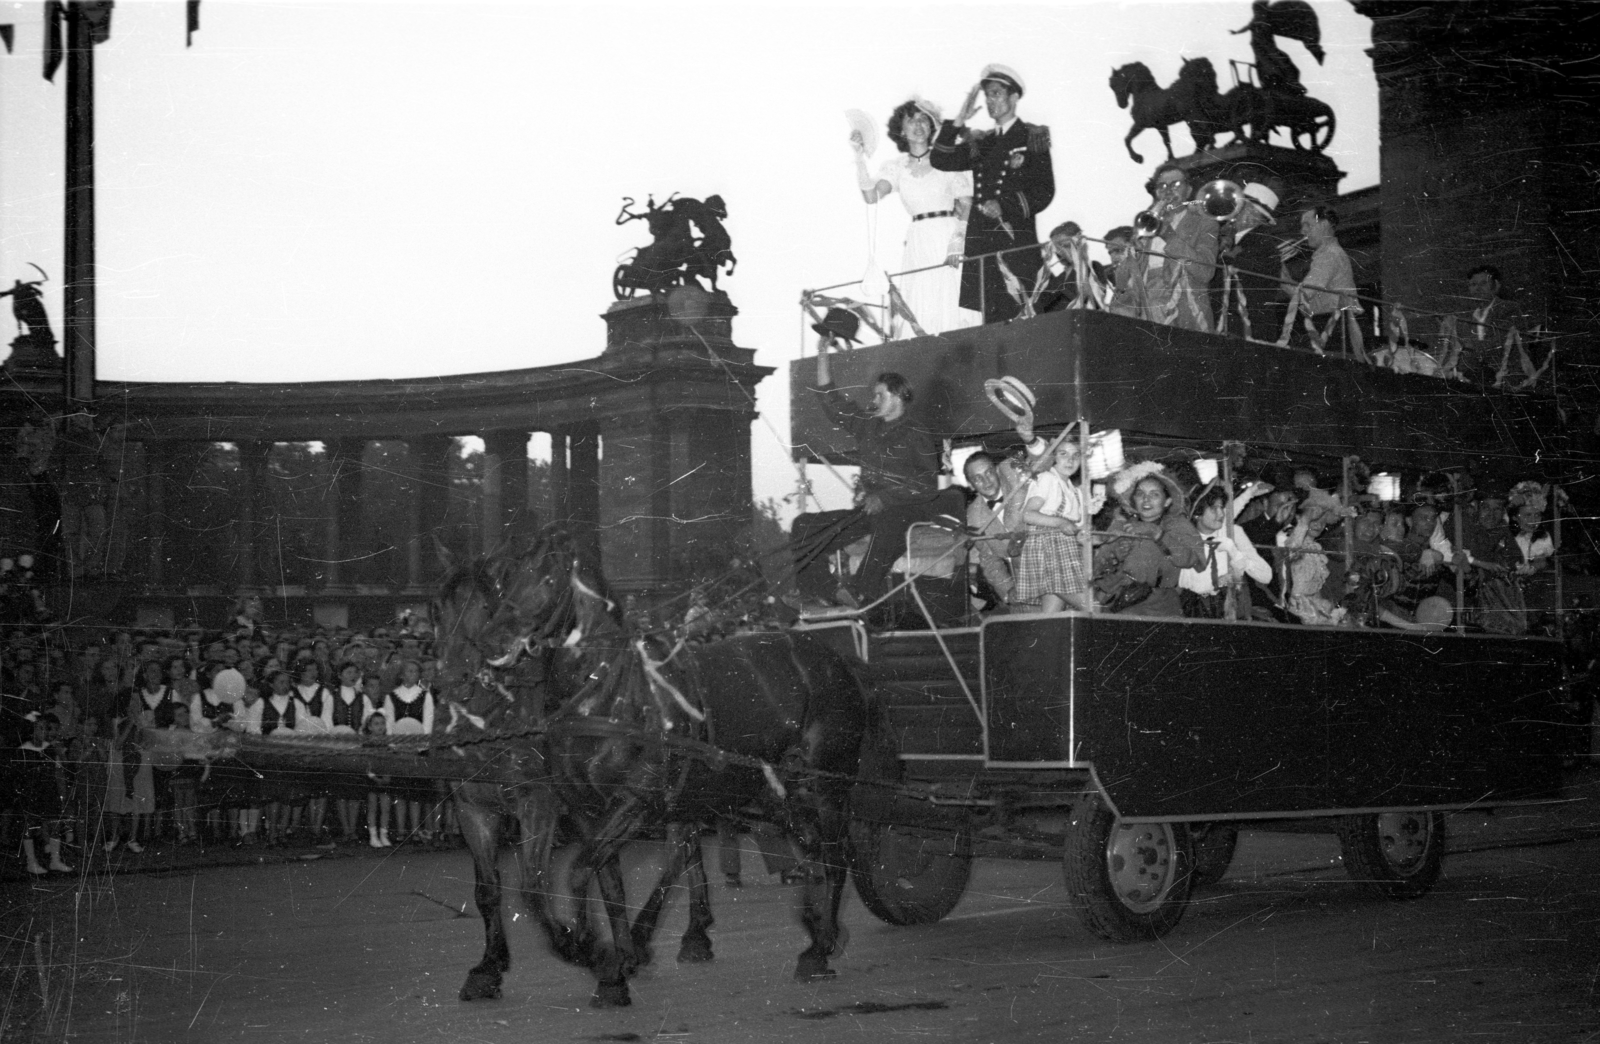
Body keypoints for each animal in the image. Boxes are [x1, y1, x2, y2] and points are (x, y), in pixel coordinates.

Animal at [432, 531, 876, 1011]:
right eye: (438, 609)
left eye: (546, 579)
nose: (488, 647)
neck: (604, 697)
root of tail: (835, 660)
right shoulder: (548, 810)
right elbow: (591, 886)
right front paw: (602, 968)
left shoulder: (601, 803)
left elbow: (558, 878)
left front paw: (586, 947)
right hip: (770, 794)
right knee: (800, 851)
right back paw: (805, 929)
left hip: (824, 788)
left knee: (833, 856)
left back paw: (818, 947)